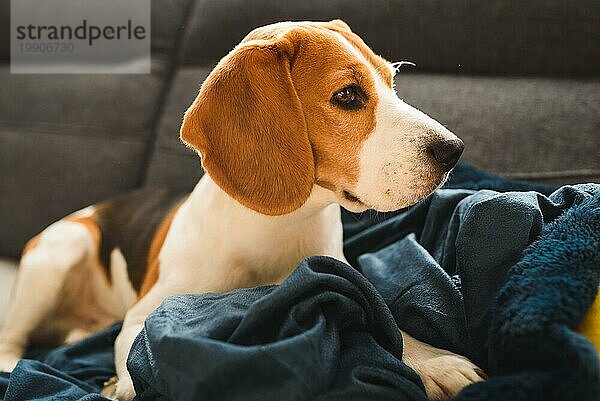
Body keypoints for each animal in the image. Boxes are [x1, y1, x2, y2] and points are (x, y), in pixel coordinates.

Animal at [0, 21, 482, 400]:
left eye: (391, 82)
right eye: (347, 95)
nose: (454, 150)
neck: (279, 226)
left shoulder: (342, 276)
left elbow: (385, 318)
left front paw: (434, 361)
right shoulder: (142, 317)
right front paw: (124, 385)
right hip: (64, 248)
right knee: (13, 337)